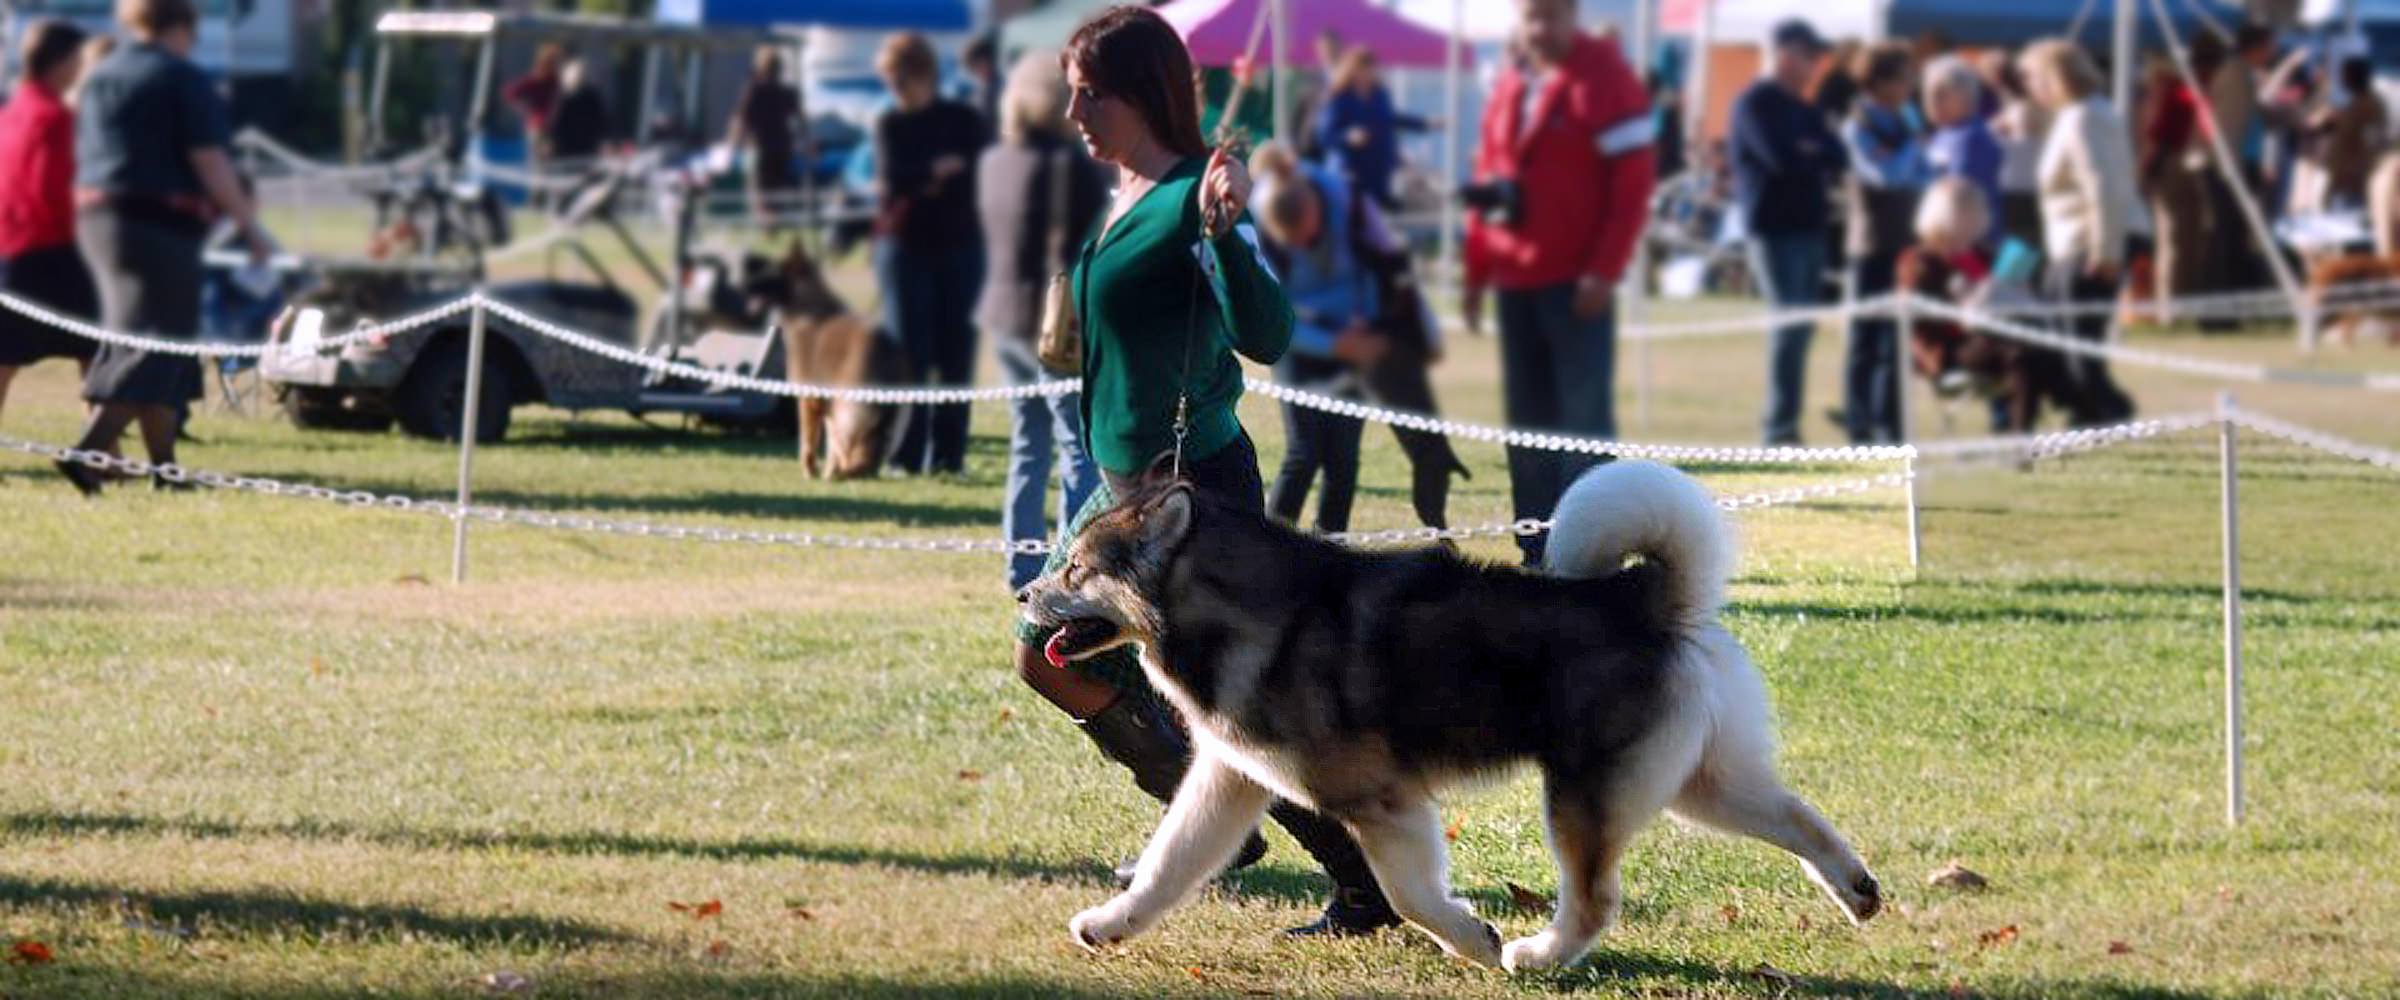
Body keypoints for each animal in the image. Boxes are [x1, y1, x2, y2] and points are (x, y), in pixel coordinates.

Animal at [1022, 460, 1881, 968]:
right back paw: (1859, 892)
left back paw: (1538, 954)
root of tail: (1639, 594)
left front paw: (1473, 939)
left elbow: (1411, 895)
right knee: (1800, 818)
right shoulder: (1230, 781)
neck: (1240, 614)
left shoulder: (1382, 803)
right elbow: (1168, 864)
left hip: (1586, 794)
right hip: (1694, 784)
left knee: (1595, 898)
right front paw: (1108, 924)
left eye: (1077, 569)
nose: (1025, 594)